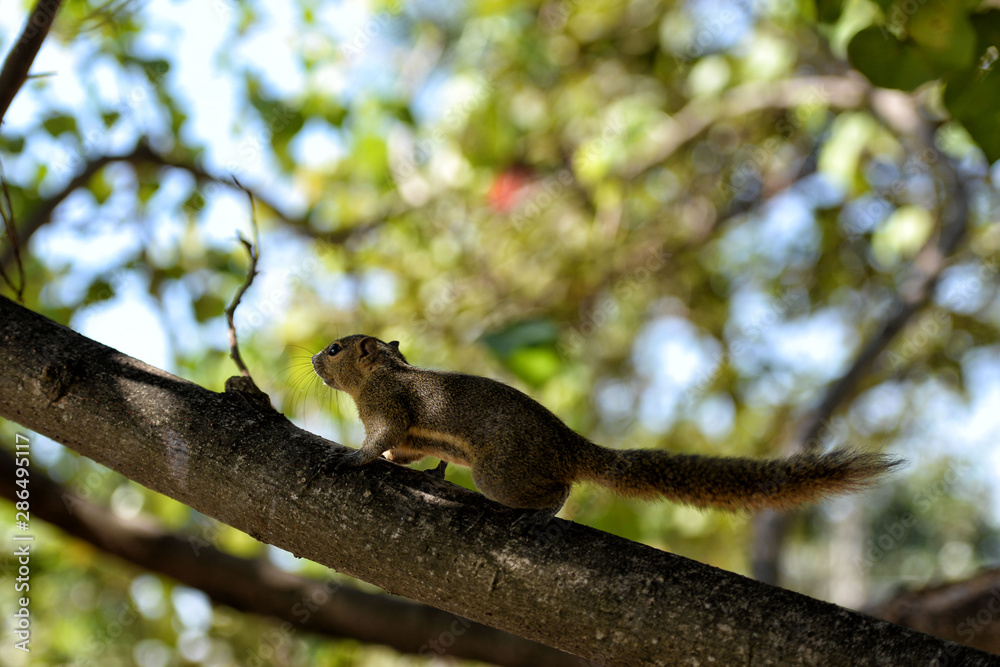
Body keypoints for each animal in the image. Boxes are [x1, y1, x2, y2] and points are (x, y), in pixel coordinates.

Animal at [310, 336, 900, 516]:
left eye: (336, 348)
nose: (313, 359)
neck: (384, 373)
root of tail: (571, 446)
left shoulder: (391, 409)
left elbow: (382, 439)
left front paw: (352, 457)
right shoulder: (408, 432)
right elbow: (404, 452)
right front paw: (394, 462)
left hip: (499, 473)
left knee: (558, 490)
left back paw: (542, 509)